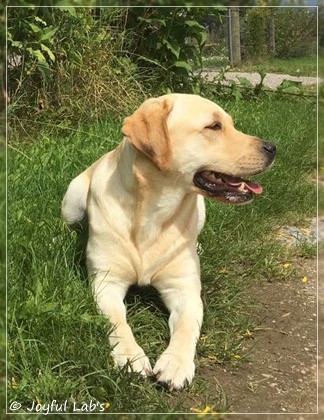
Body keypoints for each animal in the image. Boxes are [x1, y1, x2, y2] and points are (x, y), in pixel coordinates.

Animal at [61, 94, 276, 390]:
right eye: (214, 126)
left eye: (230, 124)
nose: (272, 148)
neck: (153, 213)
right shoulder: (106, 283)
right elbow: (118, 322)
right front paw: (130, 356)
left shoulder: (185, 289)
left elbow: (186, 326)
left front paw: (176, 363)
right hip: (71, 199)